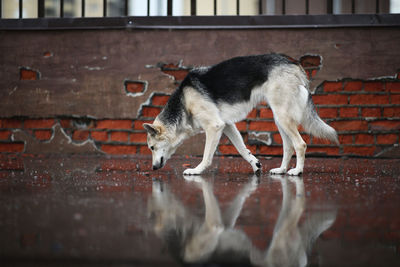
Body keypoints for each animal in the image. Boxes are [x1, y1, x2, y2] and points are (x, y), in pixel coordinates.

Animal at [144, 54, 338, 176]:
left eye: (152, 148)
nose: (153, 168)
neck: (183, 102)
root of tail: (293, 64)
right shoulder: (227, 126)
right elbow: (242, 149)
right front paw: (255, 164)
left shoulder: (215, 127)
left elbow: (207, 156)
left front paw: (196, 171)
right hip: (279, 119)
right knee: (288, 146)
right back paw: (281, 170)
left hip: (283, 117)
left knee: (300, 144)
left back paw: (297, 171)